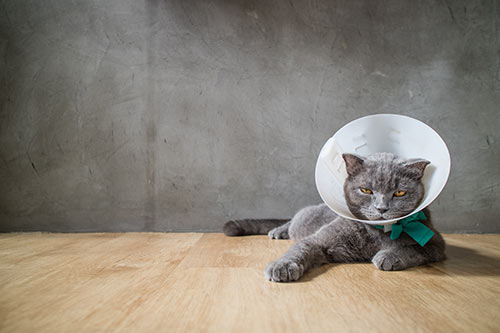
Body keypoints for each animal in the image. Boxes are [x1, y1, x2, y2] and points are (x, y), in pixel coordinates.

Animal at [223, 152, 446, 282]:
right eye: (366, 190)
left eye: (399, 192)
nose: (381, 208)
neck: (379, 234)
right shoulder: (318, 240)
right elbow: (300, 248)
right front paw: (282, 266)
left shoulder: (436, 243)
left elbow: (415, 249)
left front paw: (388, 256)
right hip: (302, 220)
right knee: (291, 222)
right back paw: (278, 231)